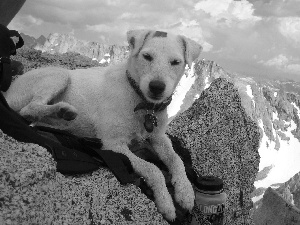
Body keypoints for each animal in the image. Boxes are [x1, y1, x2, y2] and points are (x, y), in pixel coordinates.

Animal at [4, 29, 202, 220]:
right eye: (147, 56)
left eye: (175, 62)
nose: (157, 87)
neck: (140, 101)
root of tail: (8, 93)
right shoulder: (114, 145)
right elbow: (152, 168)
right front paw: (165, 202)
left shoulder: (159, 137)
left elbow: (176, 159)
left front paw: (185, 192)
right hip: (59, 75)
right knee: (28, 109)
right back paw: (63, 110)